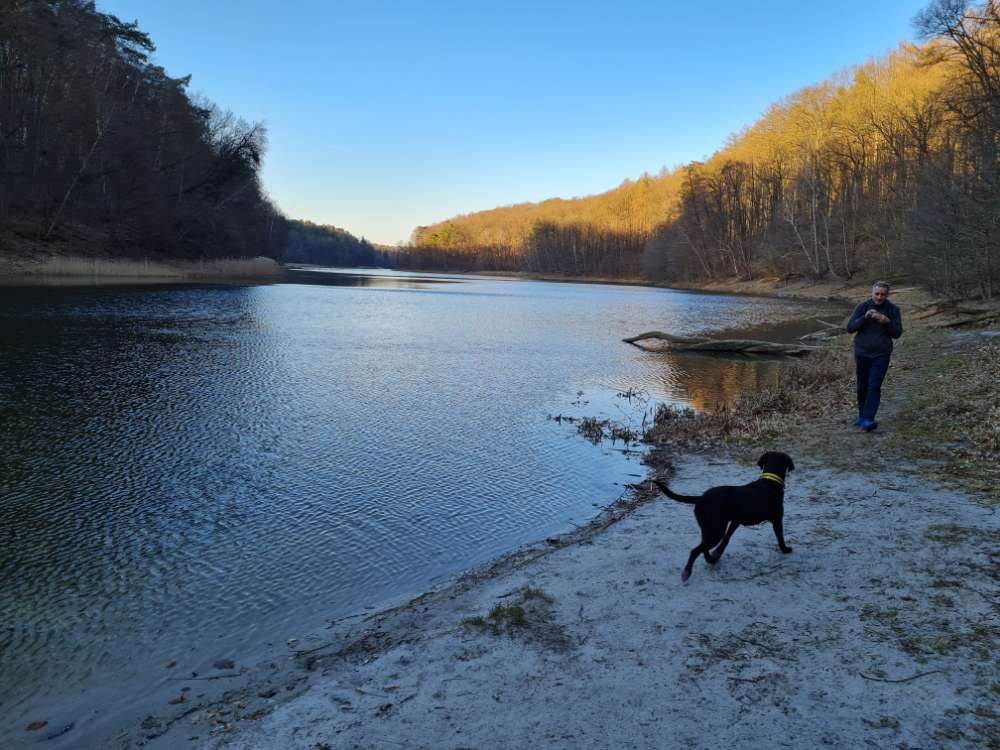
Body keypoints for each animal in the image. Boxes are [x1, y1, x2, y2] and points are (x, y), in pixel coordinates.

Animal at [652, 452, 792, 580]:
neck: (769, 482)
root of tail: (701, 498)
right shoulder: (777, 520)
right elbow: (780, 538)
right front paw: (785, 550)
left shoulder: (735, 521)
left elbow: (726, 539)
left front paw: (717, 553)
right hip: (716, 531)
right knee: (695, 550)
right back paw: (687, 572)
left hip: (708, 528)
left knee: (703, 548)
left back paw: (710, 560)